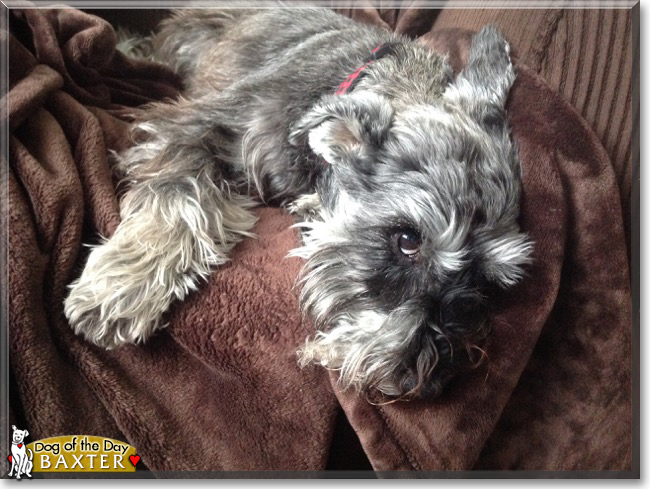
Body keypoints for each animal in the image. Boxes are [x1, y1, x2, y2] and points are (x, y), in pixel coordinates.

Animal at [64, 8, 532, 400]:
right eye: (406, 240)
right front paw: (120, 286)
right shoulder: (197, 126)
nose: (429, 380)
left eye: (487, 279)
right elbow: (176, 198)